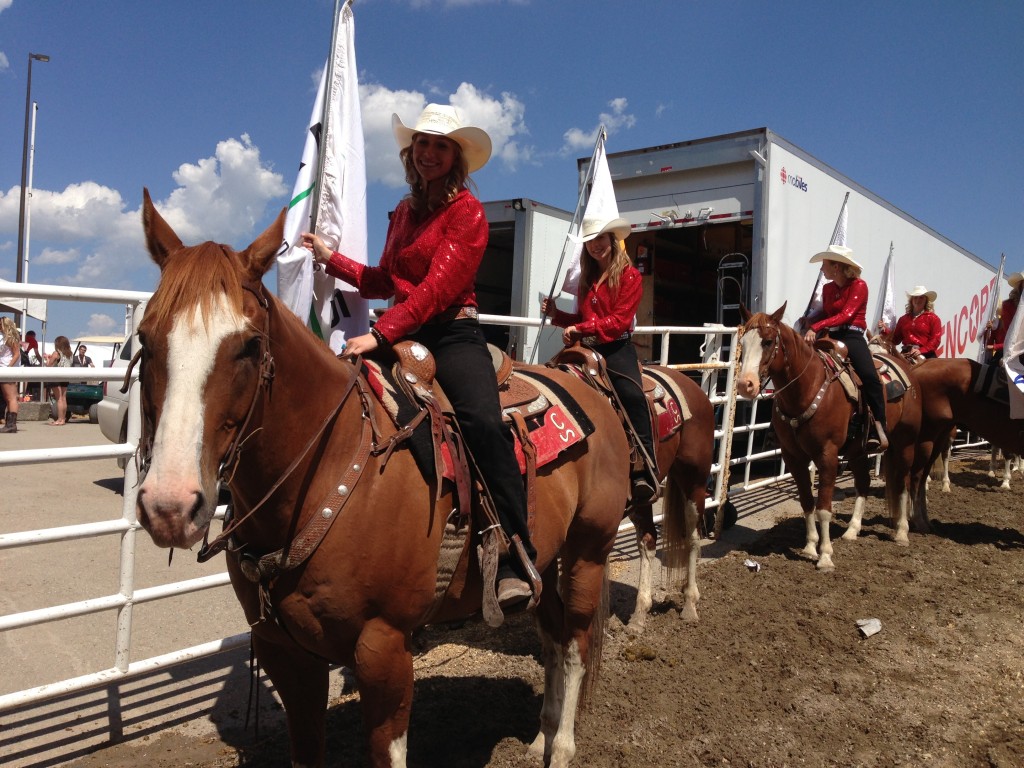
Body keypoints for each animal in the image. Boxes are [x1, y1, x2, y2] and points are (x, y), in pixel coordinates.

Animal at [132, 192, 630, 768]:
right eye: (145, 339)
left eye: (249, 346)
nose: (170, 507)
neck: (332, 472)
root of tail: (584, 383)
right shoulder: (285, 653)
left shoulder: (383, 648)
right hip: (546, 561)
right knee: (550, 639)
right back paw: (539, 738)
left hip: (587, 551)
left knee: (573, 644)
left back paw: (563, 746)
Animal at [622, 370, 712, 630]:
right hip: (641, 500)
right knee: (648, 541)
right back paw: (639, 614)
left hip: (694, 484)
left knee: (693, 538)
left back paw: (690, 604)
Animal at [737, 303, 921, 569]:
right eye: (742, 341)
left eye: (769, 341)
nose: (745, 385)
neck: (806, 388)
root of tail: (905, 367)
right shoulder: (794, 457)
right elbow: (807, 502)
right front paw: (810, 547)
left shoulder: (828, 455)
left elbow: (824, 507)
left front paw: (824, 556)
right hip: (858, 450)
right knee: (863, 483)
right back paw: (852, 530)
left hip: (905, 442)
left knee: (904, 483)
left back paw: (902, 533)